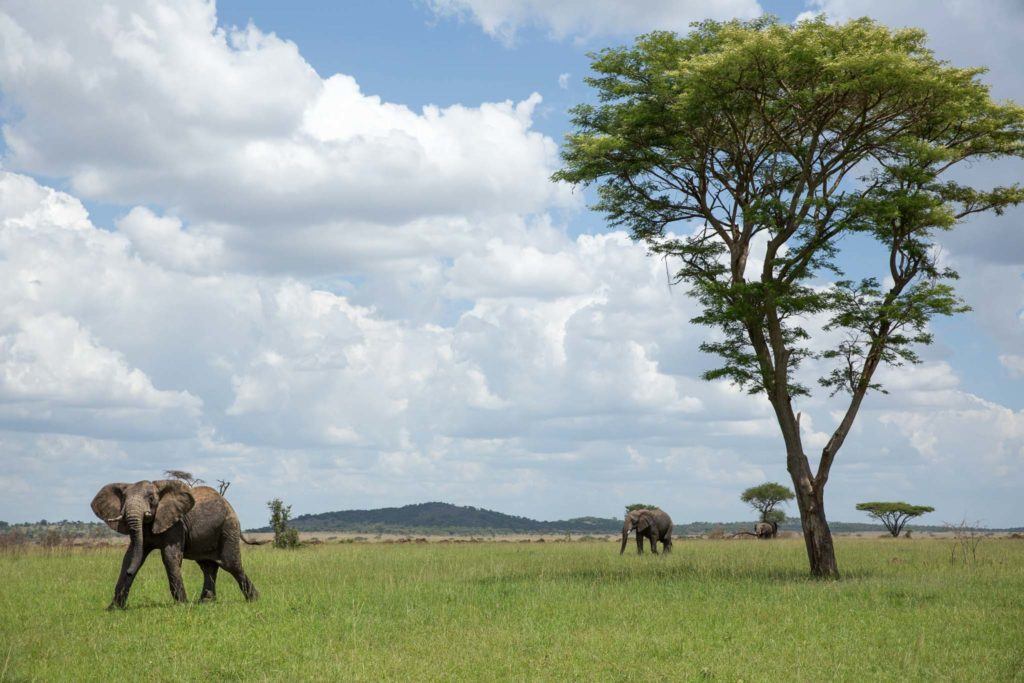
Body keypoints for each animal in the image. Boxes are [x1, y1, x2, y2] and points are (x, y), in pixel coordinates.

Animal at [90, 479, 264, 610]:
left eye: (151, 498)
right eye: (124, 499)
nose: (129, 573)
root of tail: (229, 505)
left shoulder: (176, 524)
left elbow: (169, 557)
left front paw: (182, 606)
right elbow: (130, 556)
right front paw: (113, 609)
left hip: (228, 528)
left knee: (231, 564)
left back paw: (255, 600)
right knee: (208, 566)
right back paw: (206, 603)